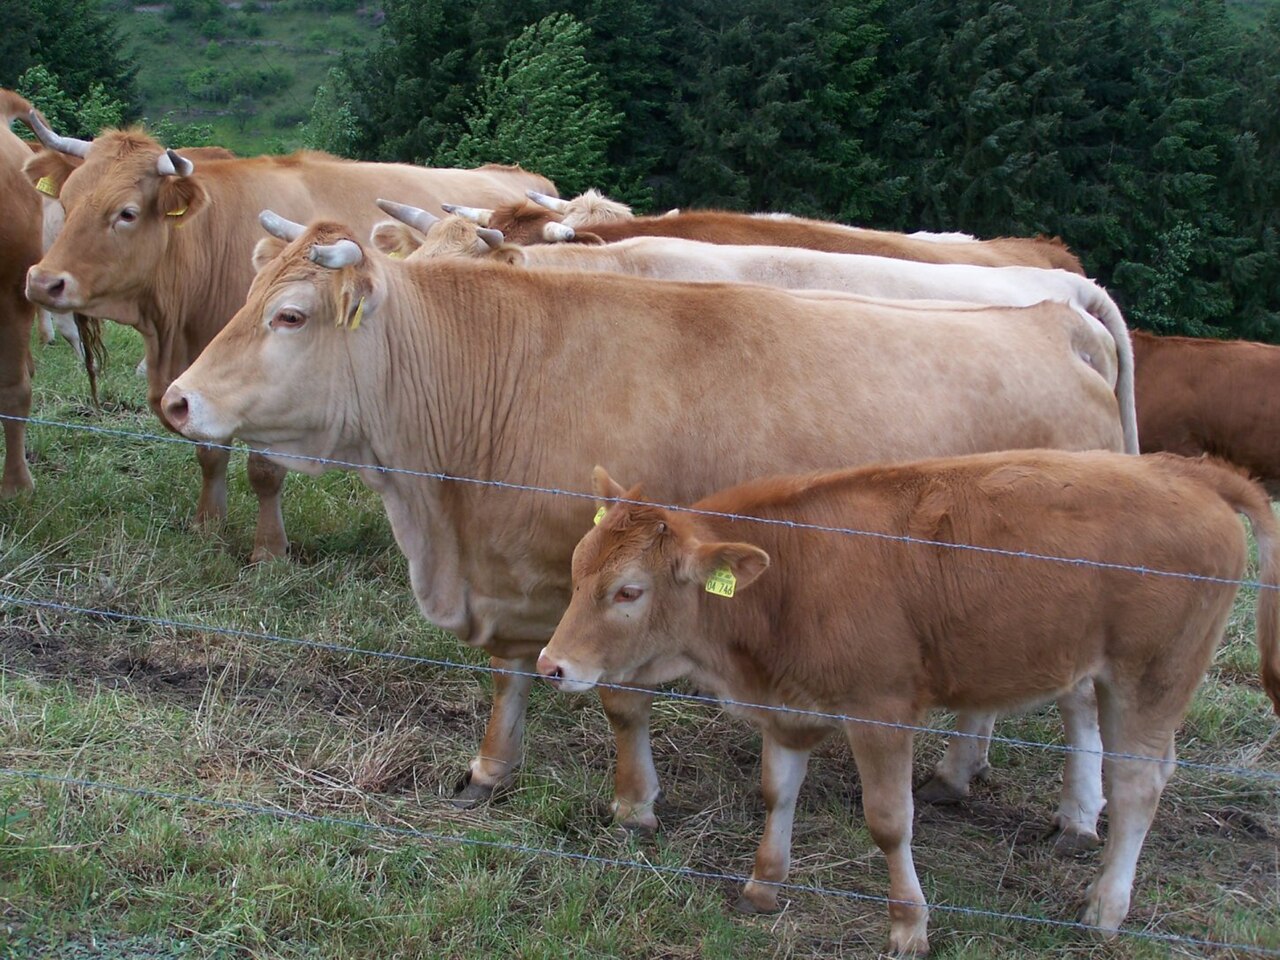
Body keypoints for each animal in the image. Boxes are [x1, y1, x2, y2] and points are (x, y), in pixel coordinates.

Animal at [22, 117, 556, 561]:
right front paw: (208, 525)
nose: (43, 282)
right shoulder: (205, 377)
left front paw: (269, 551)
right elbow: (209, 453)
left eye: (127, 213)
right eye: (66, 203)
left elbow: (264, 470)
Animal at [537, 453, 1280, 952]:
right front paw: (763, 884)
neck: (791, 578)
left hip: (1153, 676)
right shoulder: (789, 705)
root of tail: (1186, 470)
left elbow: (890, 822)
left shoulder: (882, 710)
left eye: (629, 591)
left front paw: (908, 924)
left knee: (1139, 783)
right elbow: (778, 791)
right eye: (576, 567)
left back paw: (1105, 909)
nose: (551, 665)